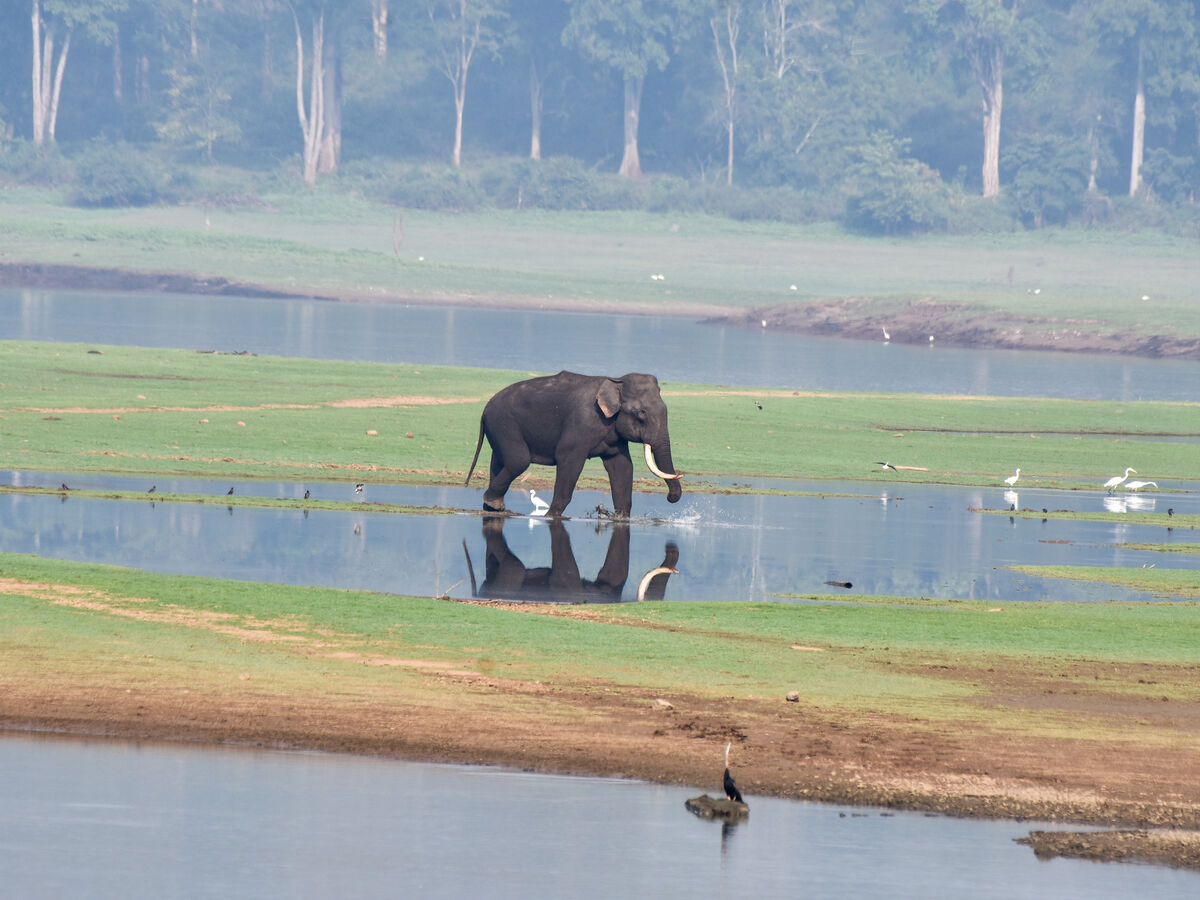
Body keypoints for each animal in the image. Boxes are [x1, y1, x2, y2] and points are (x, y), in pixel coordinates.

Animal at [465, 371, 683, 517]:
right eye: (641, 413)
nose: (669, 498)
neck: (615, 380)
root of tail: (485, 409)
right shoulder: (581, 424)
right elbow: (569, 460)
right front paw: (550, 517)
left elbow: (621, 466)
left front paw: (621, 519)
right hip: (504, 424)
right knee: (519, 460)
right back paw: (494, 504)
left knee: (499, 461)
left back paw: (493, 508)